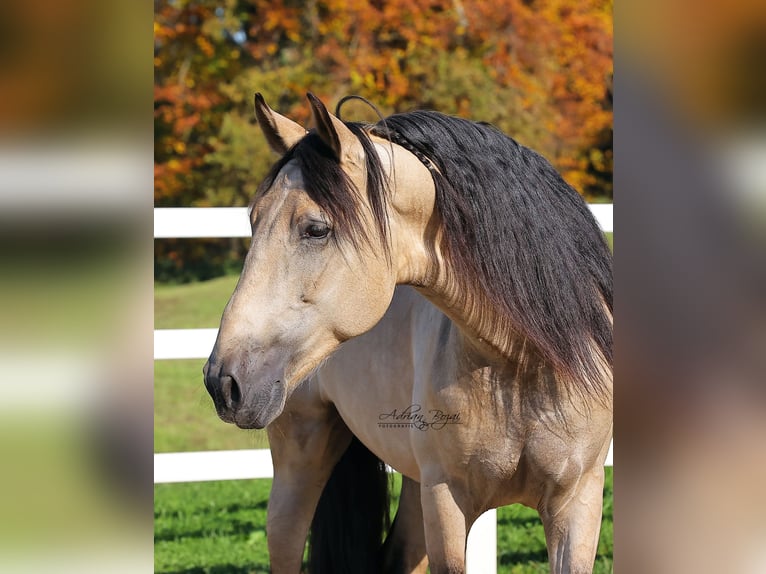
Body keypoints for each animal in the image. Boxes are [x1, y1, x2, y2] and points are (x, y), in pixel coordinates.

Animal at [202, 92, 612, 572]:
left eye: (316, 229)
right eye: (253, 220)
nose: (223, 381)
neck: (523, 363)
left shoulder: (577, 501)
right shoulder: (446, 500)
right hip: (299, 462)